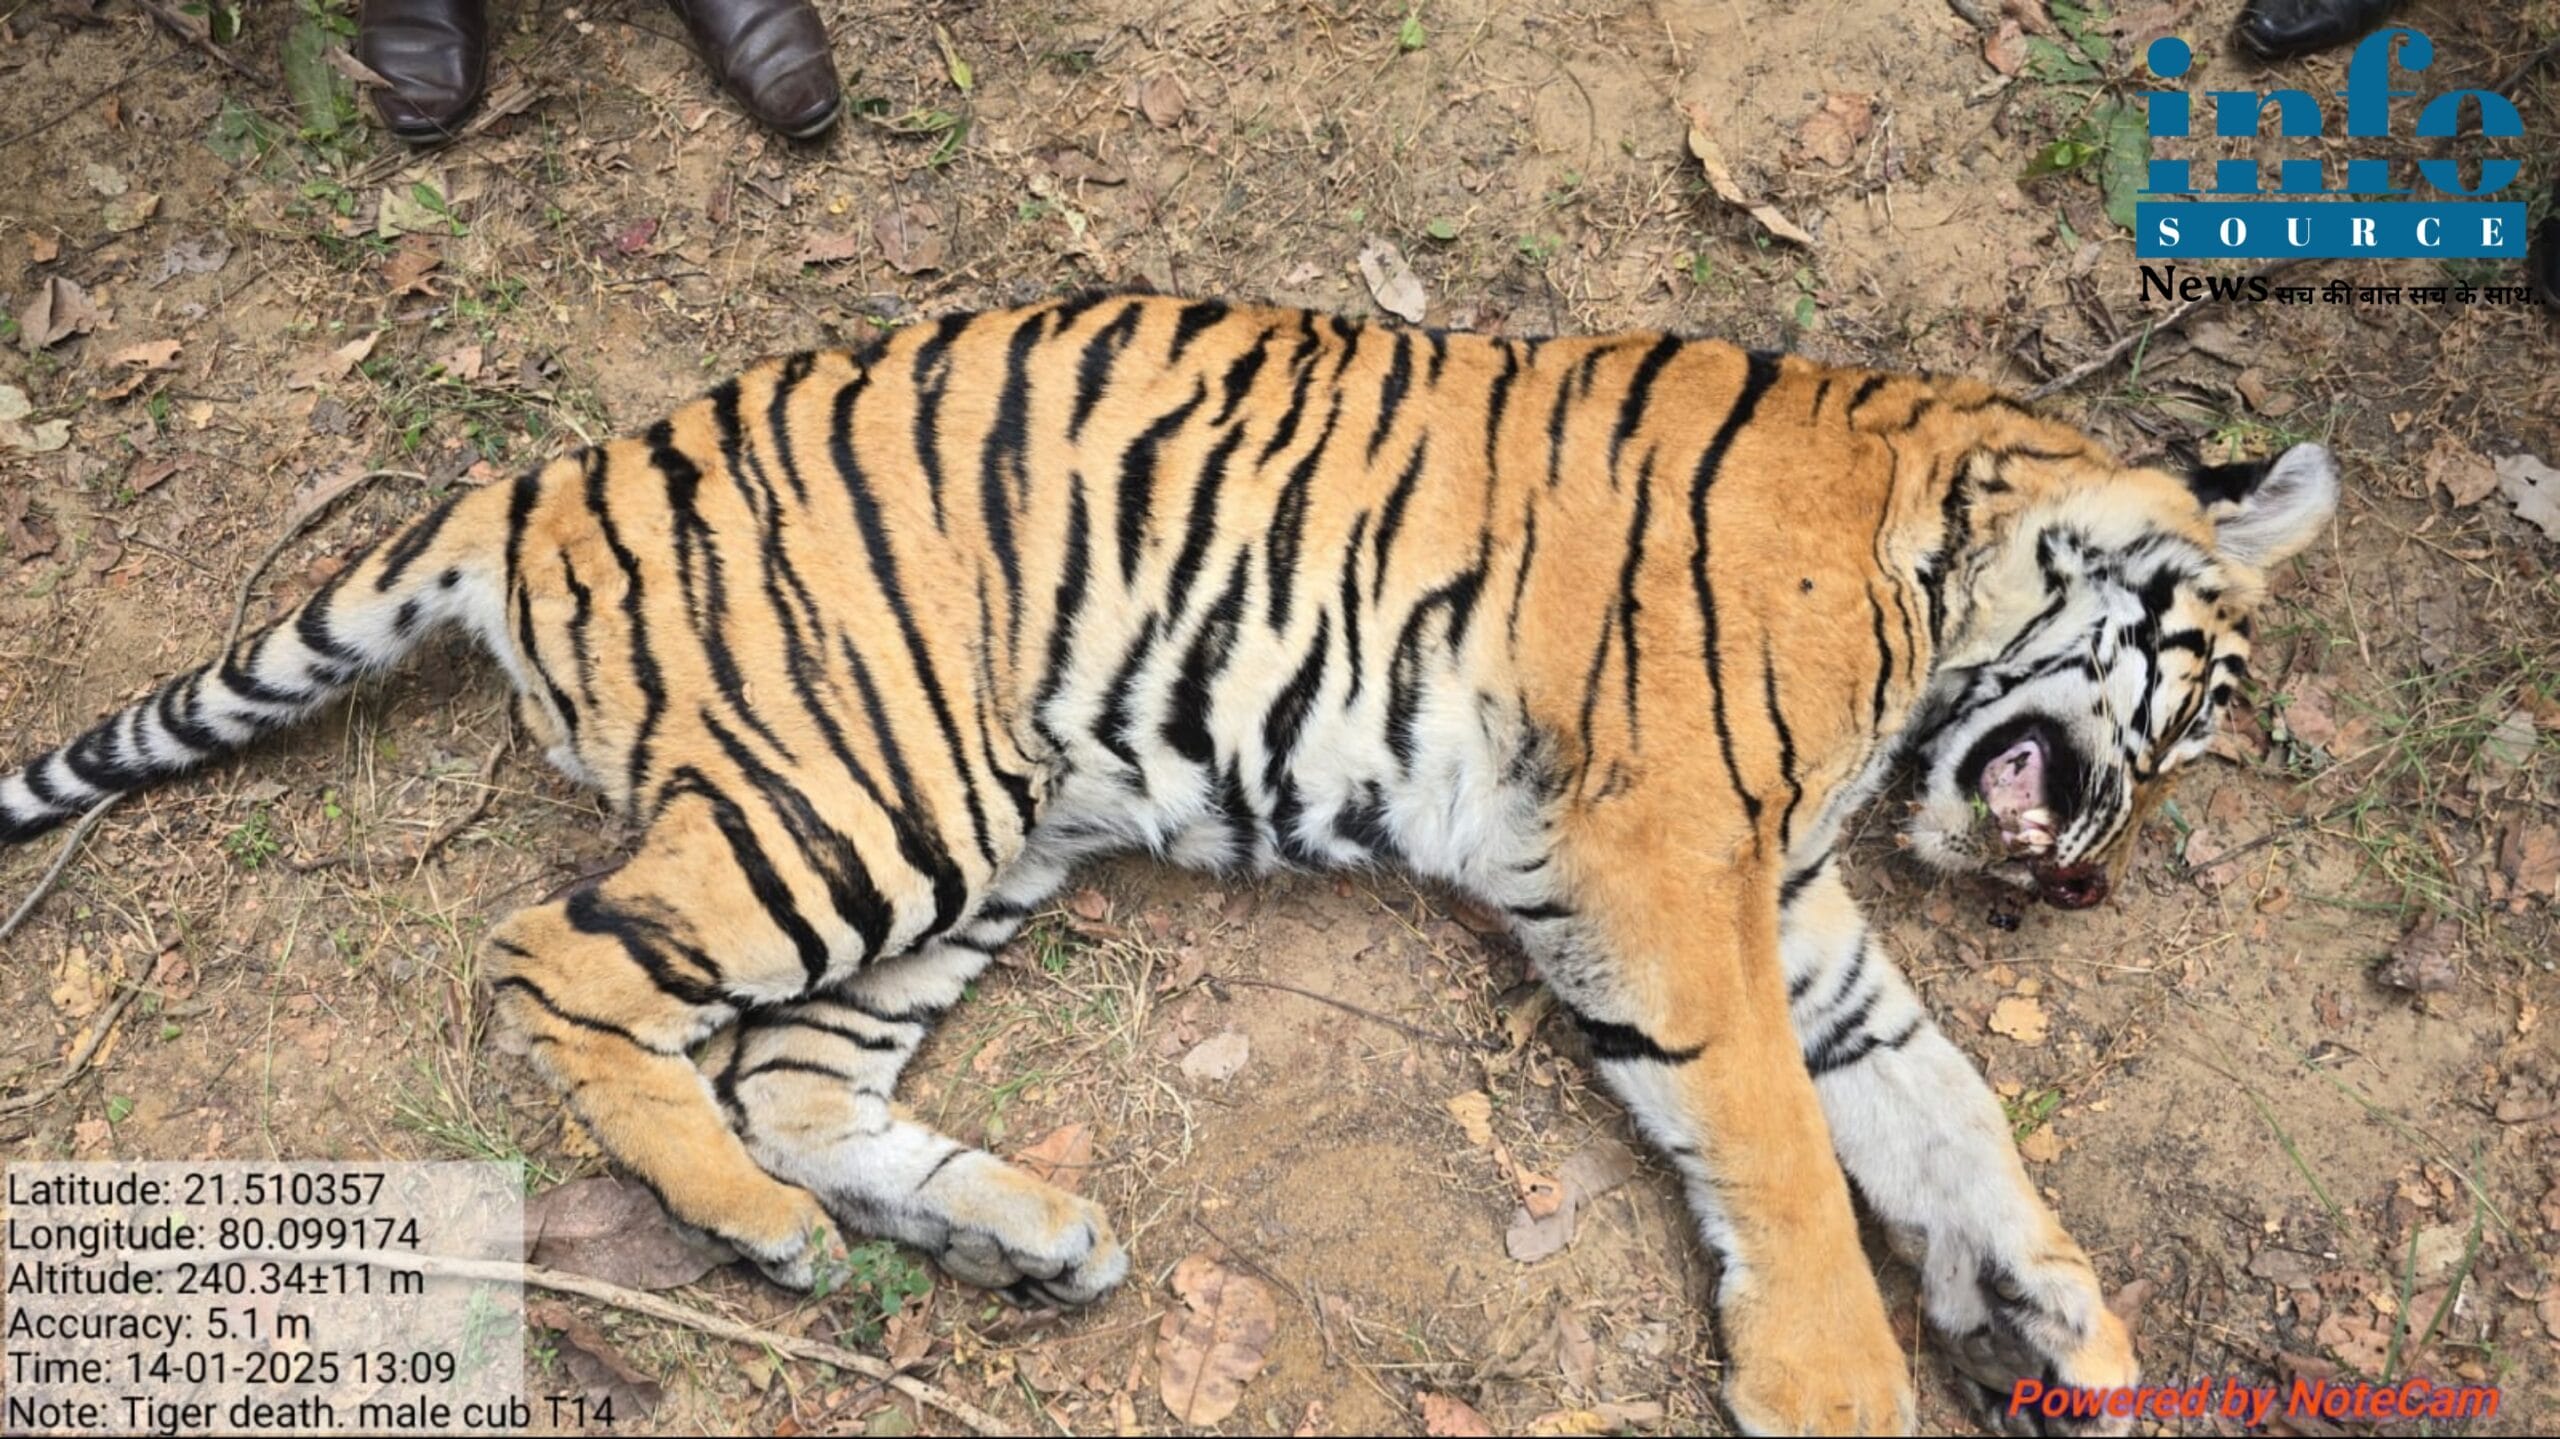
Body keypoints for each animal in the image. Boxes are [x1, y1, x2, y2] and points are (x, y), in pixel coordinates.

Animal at [0, 292, 2335, 1435]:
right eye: (2189, 713)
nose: (2090, 875)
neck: (1933, 578)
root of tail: (545, 474)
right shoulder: (1666, 855)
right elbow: (1772, 1134)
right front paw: (1841, 1383)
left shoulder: (1782, 902)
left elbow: (1938, 1103)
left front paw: (2057, 1317)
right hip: (865, 791)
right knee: (550, 956)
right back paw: (753, 1227)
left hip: (975, 835)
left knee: (790, 1064)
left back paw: (1013, 1241)